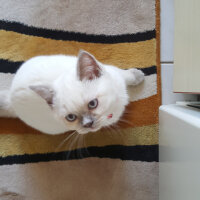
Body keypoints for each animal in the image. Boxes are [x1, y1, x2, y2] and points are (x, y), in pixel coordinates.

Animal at [0, 50, 144, 134]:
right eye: (71, 117)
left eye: (93, 104)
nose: (88, 124)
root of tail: (10, 97)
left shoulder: (114, 72)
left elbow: (126, 76)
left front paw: (137, 76)